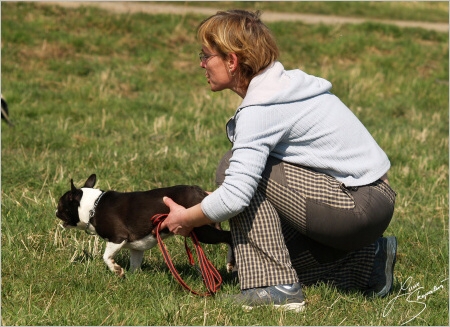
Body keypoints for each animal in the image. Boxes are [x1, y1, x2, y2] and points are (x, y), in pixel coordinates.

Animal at [54, 176, 234, 278]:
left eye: (60, 205)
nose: (55, 211)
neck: (93, 206)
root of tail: (199, 192)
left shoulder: (117, 238)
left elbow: (106, 256)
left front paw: (117, 270)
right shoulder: (136, 247)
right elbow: (135, 263)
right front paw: (134, 278)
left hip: (202, 231)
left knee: (228, 237)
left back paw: (230, 263)